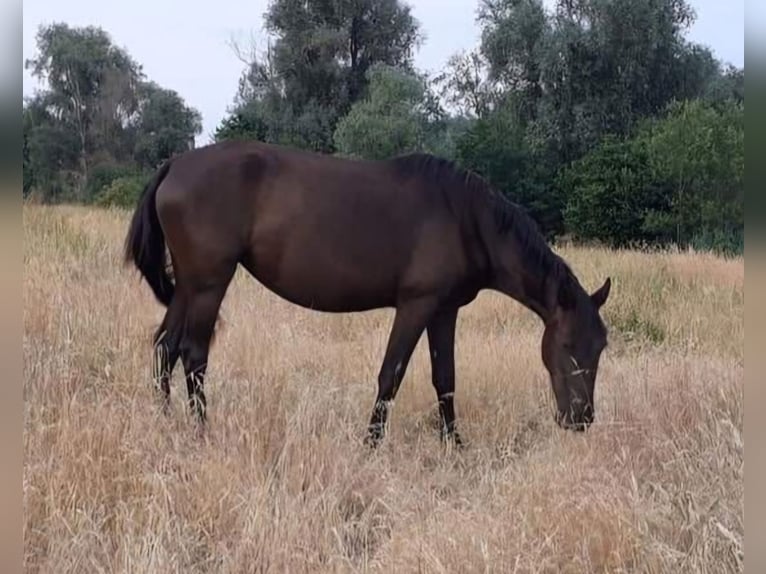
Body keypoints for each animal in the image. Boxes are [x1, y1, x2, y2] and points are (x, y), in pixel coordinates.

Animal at [124, 140, 612, 446]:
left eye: (600, 347)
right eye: (567, 345)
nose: (582, 419)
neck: (466, 219)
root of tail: (175, 164)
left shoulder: (444, 311)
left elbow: (445, 379)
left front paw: (454, 444)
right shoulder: (416, 306)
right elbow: (390, 375)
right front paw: (371, 444)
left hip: (189, 287)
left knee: (165, 347)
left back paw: (165, 422)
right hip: (209, 284)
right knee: (193, 354)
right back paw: (202, 431)